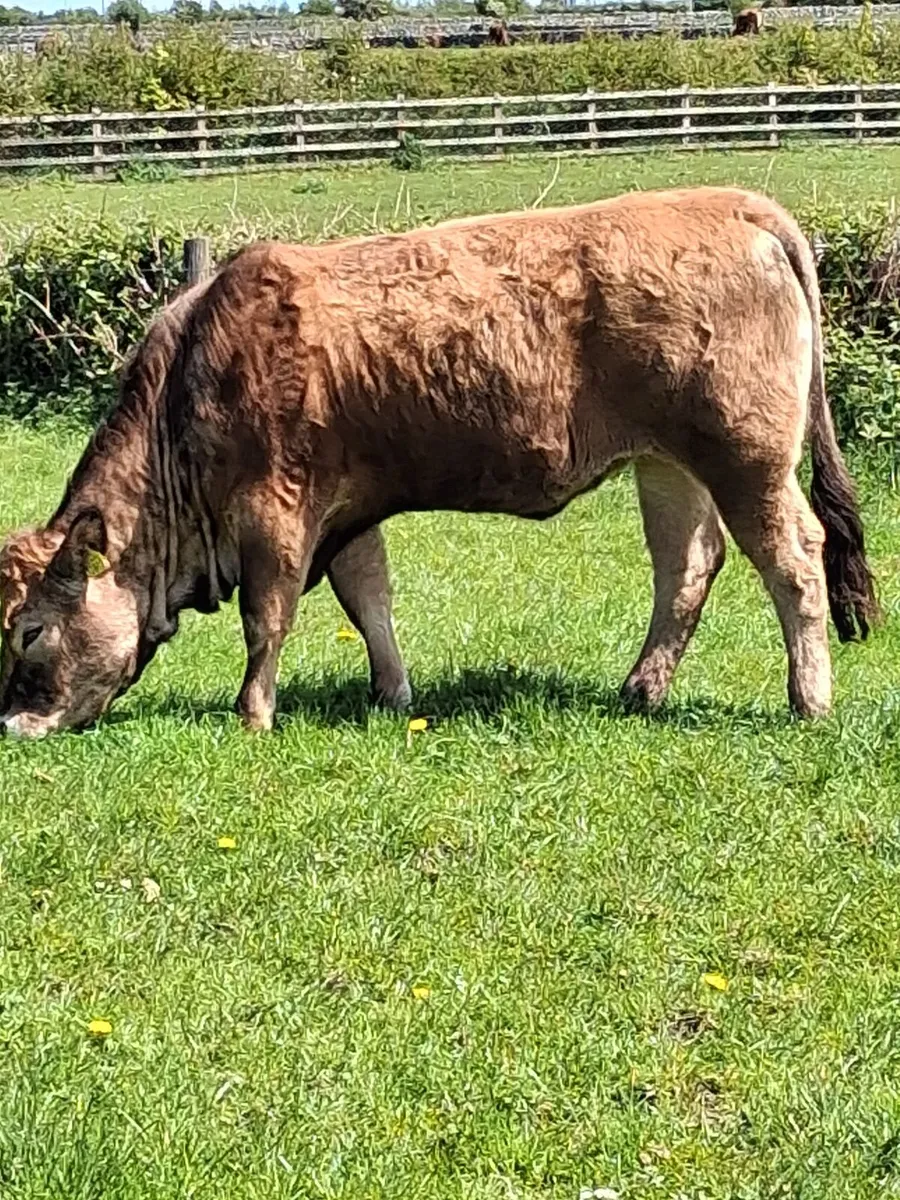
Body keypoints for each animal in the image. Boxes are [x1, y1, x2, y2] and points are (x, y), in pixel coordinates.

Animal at [0, 187, 878, 738]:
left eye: (31, 631)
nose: (13, 722)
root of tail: (736, 204)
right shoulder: (346, 510)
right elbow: (369, 601)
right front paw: (392, 694)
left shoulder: (275, 509)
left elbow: (266, 615)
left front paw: (253, 714)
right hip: (669, 464)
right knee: (688, 566)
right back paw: (641, 689)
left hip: (745, 457)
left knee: (794, 557)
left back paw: (808, 700)